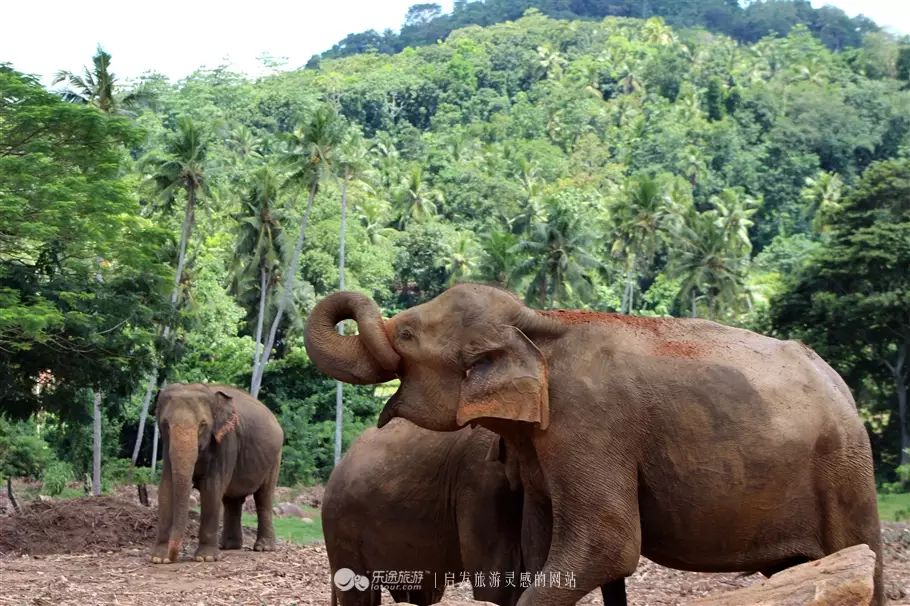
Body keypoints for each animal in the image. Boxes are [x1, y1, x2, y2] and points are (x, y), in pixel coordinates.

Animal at [150, 384, 284, 564]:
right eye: (165, 424)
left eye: (203, 424)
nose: (174, 556)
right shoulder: (167, 446)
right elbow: (166, 487)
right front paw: (159, 559)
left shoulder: (227, 440)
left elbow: (211, 488)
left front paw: (205, 558)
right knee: (232, 500)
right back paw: (228, 546)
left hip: (275, 458)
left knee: (264, 497)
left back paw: (263, 548)